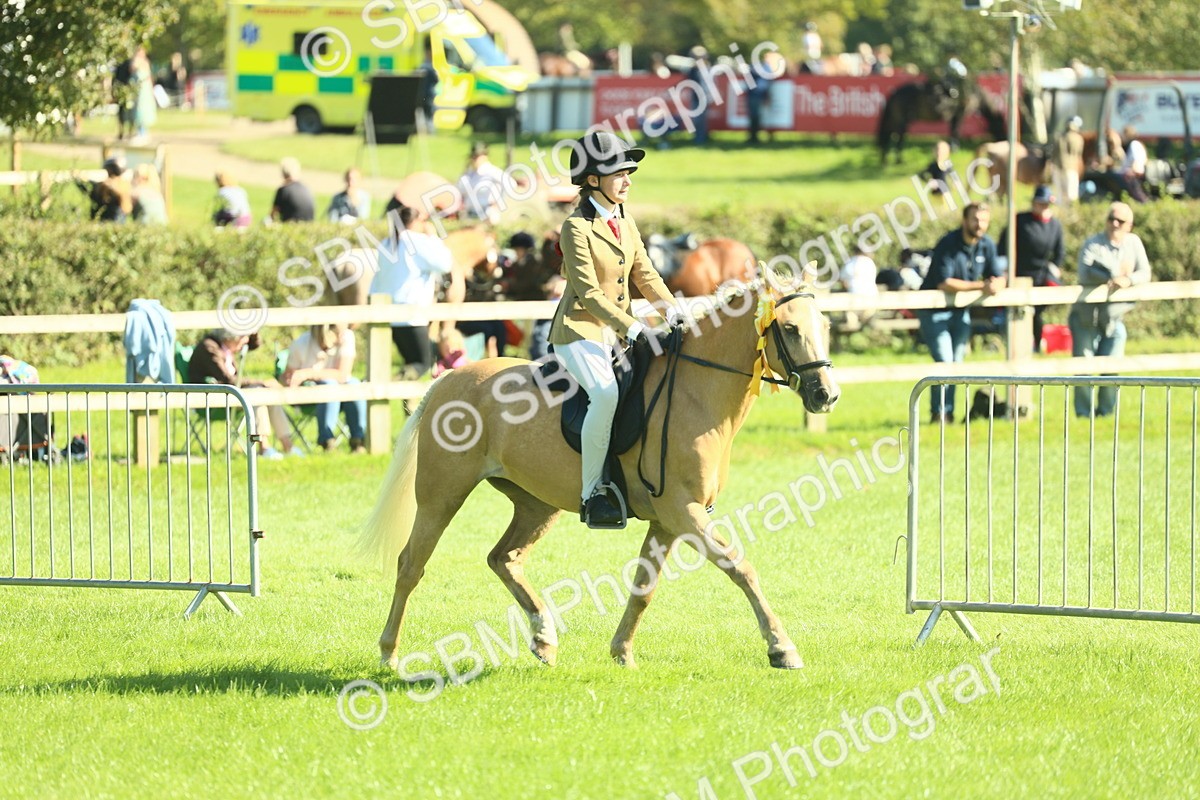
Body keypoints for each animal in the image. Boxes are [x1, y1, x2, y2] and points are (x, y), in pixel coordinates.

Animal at [362, 284, 841, 671]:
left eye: (826, 325)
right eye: (790, 329)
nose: (826, 395)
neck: (695, 391)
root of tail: (447, 381)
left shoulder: (668, 520)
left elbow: (644, 588)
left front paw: (622, 651)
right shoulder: (683, 512)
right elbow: (740, 567)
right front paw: (781, 648)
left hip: (537, 503)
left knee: (504, 559)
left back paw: (543, 638)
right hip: (441, 496)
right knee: (411, 565)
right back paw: (389, 654)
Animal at [876, 78, 1008, 164]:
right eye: (1000, 124)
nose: (1004, 139)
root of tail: (894, 94)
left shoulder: (955, 117)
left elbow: (953, 132)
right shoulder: (959, 115)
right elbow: (955, 132)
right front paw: (955, 148)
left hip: (895, 121)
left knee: (888, 137)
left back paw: (885, 160)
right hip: (901, 122)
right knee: (898, 139)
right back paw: (899, 160)